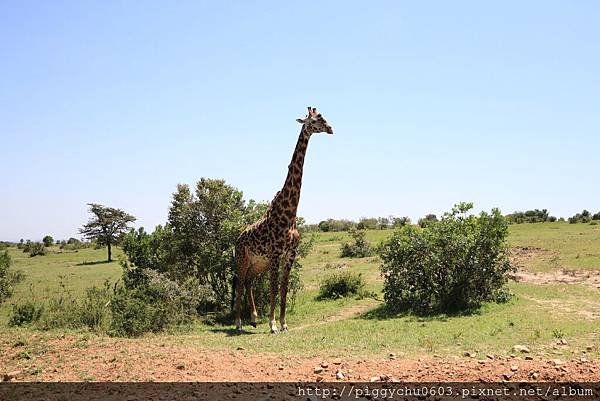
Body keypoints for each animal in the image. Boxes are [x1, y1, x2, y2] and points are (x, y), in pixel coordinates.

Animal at [233, 105, 332, 332]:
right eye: (314, 120)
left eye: (323, 117)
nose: (331, 128)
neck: (290, 213)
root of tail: (237, 239)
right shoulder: (276, 254)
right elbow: (273, 288)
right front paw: (272, 325)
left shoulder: (290, 254)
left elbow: (284, 289)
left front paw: (284, 324)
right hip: (242, 259)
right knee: (240, 283)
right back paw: (239, 323)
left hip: (257, 263)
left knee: (249, 282)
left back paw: (253, 318)